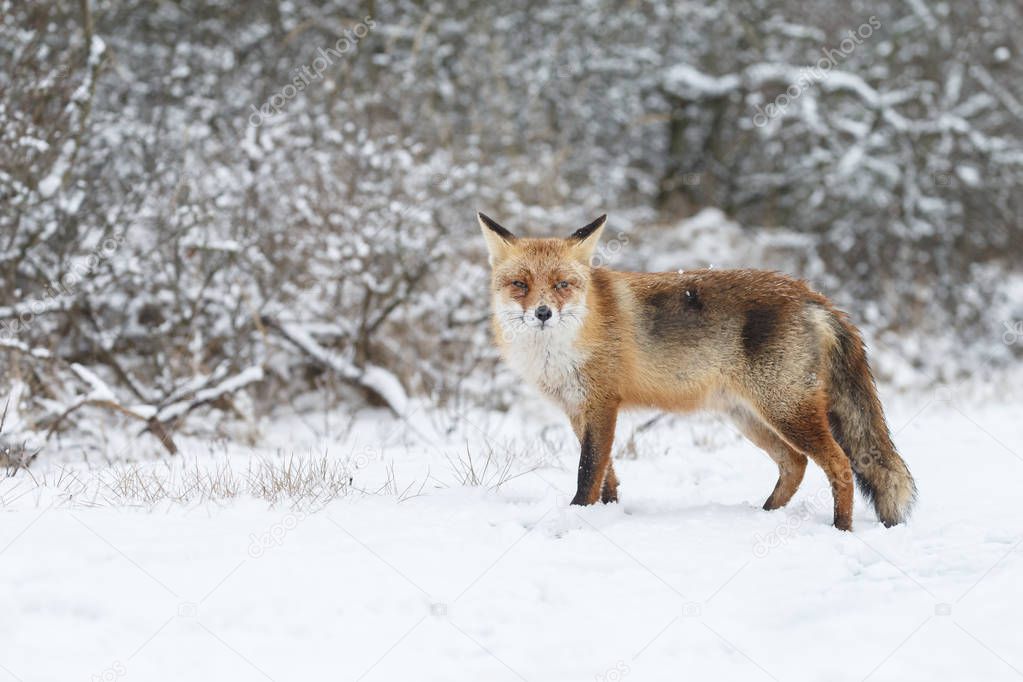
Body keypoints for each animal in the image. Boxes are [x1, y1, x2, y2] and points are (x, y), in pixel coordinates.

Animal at [478, 210, 920, 531]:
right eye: (520, 284)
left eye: (562, 284)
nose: (543, 313)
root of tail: (814, 295)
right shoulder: (577, 410)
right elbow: (608, 476)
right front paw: (609, 512)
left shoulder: (602, 404)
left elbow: (588, 472)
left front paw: (577, 517)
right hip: (749, 416)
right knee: (795, 464)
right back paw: (765, 513)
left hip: (786, 410)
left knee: (840, 465)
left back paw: (840, 528)